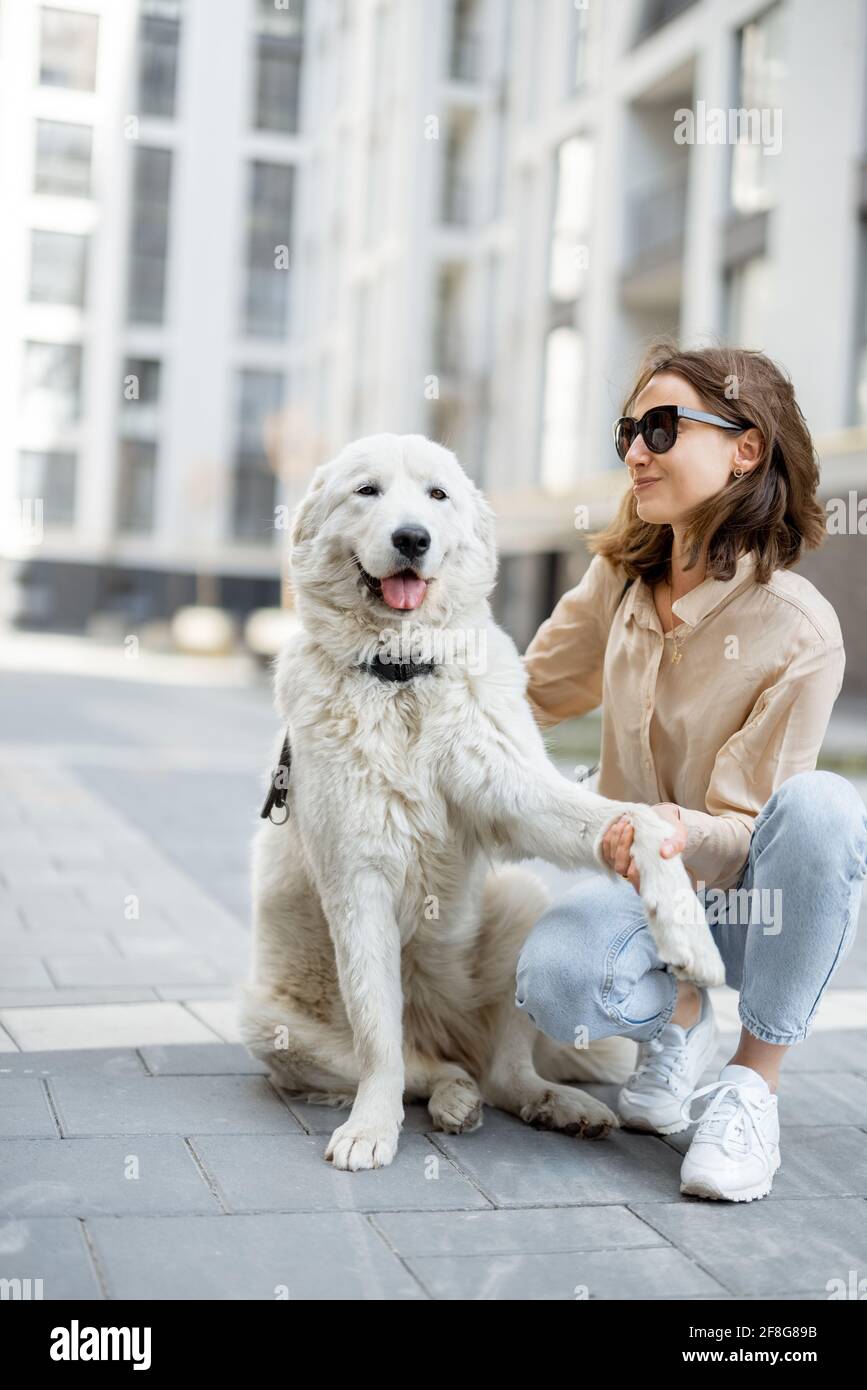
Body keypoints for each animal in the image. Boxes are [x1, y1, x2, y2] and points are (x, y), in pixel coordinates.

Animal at [238, 436, 722, 1173]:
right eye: (367, 491)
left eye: (436, 495)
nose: (412, 538)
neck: (401, 678)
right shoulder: (357, 882)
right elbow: (378, 1036)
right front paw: (369, 1131)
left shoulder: (516, 792)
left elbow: (636, 819)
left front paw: (687, 934)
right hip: (267, 1022)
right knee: (426, 1065)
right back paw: (452, 1099)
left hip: (522, 905)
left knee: (504, 1071)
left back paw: (557, 1104)